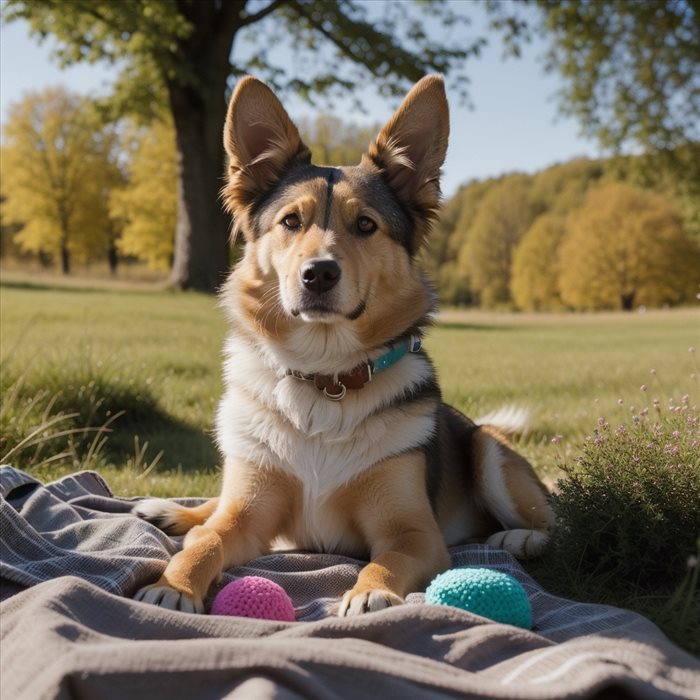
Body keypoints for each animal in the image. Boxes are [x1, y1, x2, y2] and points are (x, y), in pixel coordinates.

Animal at [134, 74, 556, 616]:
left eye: (366, 225)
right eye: (291, 222)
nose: (318, 273)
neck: (324, 376)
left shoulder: (414, 532)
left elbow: (388, 559)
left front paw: (370, 591)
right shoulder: (248, 513)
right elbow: (207, 539)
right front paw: (174, 584)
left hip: (487, 448)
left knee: (554, 518)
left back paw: (521, 538)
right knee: (210, 510)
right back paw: (169, 510)